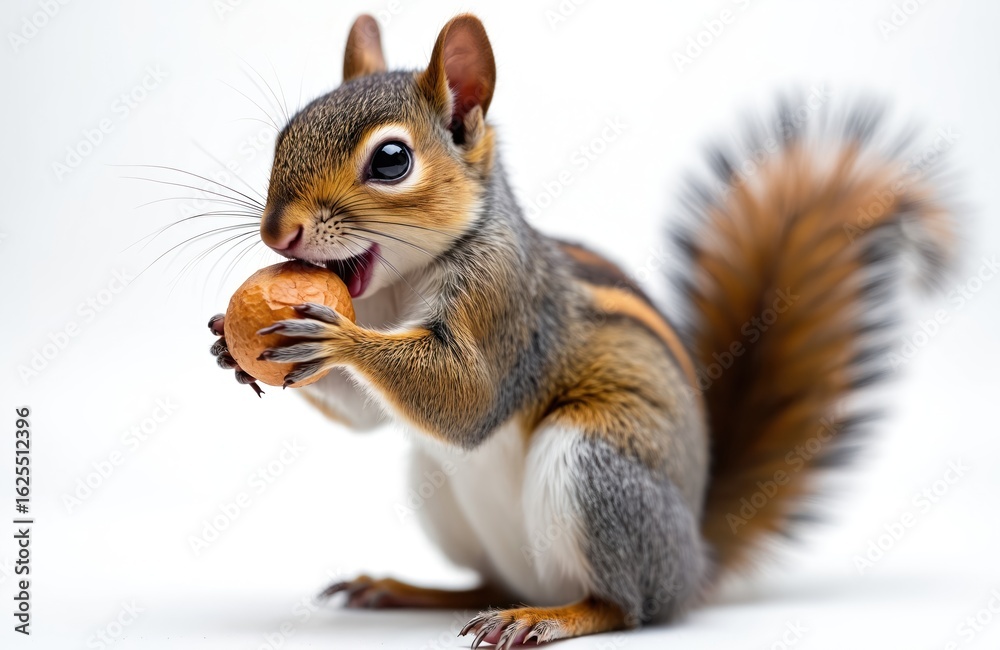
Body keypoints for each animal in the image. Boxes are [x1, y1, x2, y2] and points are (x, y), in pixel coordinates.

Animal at [205, 13, 954, 648]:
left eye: (391, 160)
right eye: (286, 133)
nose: (277, 232)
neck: (398, 286)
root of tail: (692, 563)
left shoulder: (507, 306)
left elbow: (469, 400)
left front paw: (339, 342)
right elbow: (366, 415)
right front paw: (226, 344)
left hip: (595, 467)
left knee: (627, 606)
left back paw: (547, 617)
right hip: (444, 495)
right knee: (484, 581)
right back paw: (407, 589)